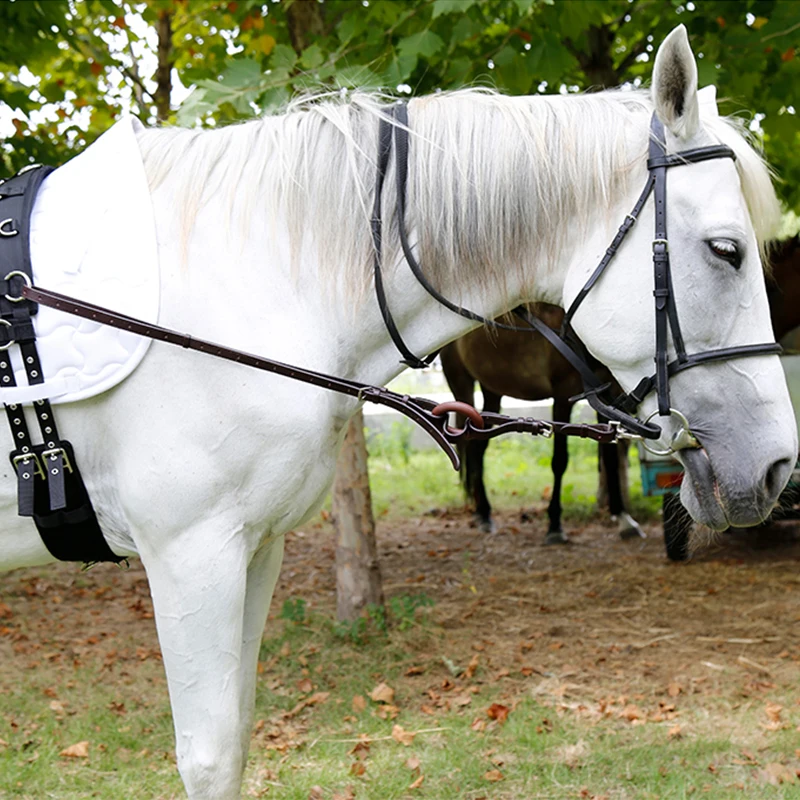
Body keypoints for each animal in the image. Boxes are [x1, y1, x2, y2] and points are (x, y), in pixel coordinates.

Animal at [438, 304, 644, 540]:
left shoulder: (609, 395)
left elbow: (610, 457)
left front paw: (623, 517)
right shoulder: (563, 395)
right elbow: (560, 460)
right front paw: (554, 525)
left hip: (492, 389)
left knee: (477, 447)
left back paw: (484, 513)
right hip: (461, 384)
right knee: (469, 443)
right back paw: (483, 513)